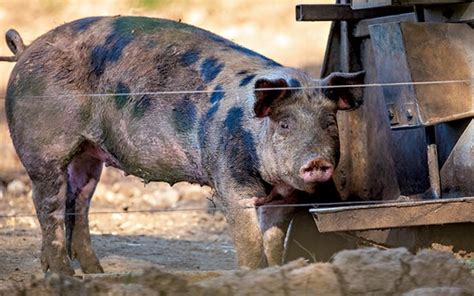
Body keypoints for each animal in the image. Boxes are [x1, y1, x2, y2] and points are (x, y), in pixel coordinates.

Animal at [3, 16, 364, 276]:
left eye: (329, 123)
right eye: (285, 124)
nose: (317, 162)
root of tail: (26, 50)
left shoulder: (286, 199)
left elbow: (273, 244)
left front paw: (276, 273)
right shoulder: (230, 186)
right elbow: (250, 245)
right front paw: (252, 275)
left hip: (89, 155)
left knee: (78, 202)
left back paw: (94, 273)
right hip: (43, 150)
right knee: (46, 205)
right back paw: (63, 276)